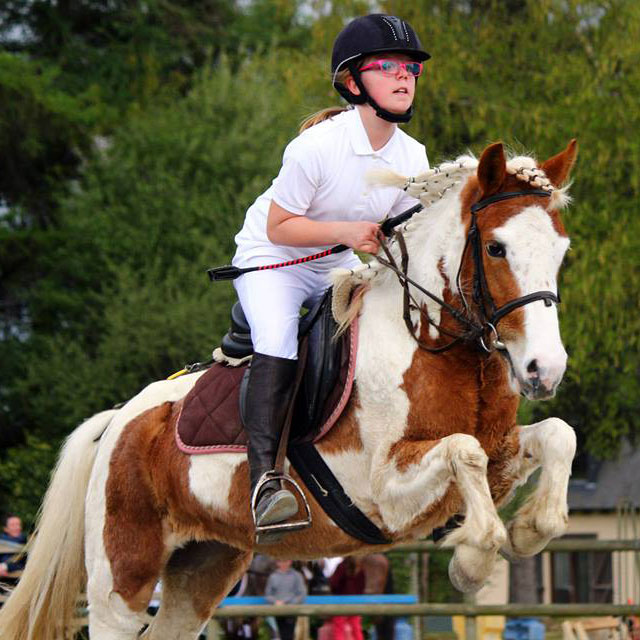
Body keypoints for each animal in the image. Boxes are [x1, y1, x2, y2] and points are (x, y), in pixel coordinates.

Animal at [0, 140, 580, 640]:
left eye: (562, 251)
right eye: (495, 248)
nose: (544, 369)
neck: (437, 345)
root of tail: (121, 419)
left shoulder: (500, 451)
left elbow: (556, 435)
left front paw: (530, 530)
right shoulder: (384, 490)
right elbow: (465, 451)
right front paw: (474, 561)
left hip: (203, 566)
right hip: (121, 580)